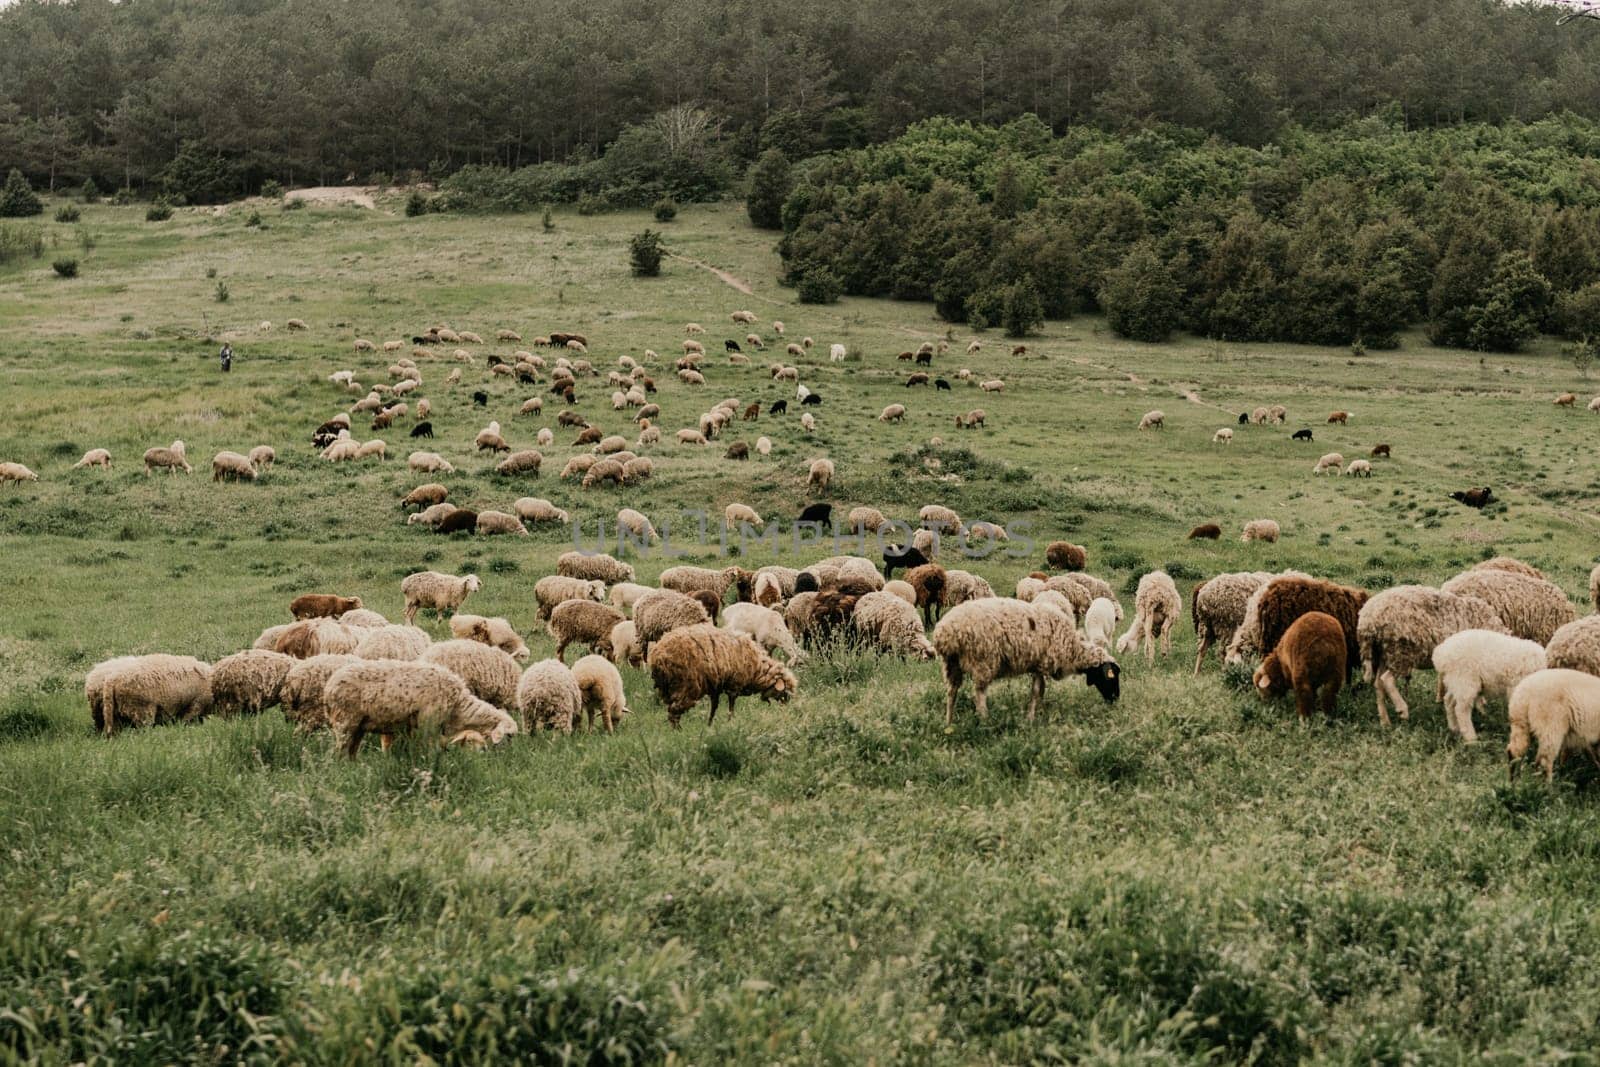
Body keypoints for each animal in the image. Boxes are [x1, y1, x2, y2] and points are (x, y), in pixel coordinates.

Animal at [328, 655, 515, 755]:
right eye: (509, 736)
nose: (509, 756)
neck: (458, 707)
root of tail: (331, 683)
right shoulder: (429, 723)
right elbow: (430, 749)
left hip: (359, 726)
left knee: (351, 751)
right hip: (345, 720)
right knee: (339, 751)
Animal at [646, 620, 796, 729]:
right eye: (784, 691)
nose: (787, 706)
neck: (757, 669)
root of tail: (657, 656)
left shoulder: (715, 687)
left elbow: (714, 707)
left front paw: (709, 725)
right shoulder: (734, 685)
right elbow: (731, 707)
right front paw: (730, 723)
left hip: (666, 688)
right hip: (686, 686)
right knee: (674, 712)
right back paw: (679, 732)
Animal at [934, 601, 1120, 726]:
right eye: (1111, 677)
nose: (1115, 700)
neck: (1073, 648)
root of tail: (944, 632)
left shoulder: (1039, 664)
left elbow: (1041, 690)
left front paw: (1039, 712)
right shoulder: (1042, 663)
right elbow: (1036, 691)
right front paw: (1030, 718)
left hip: (951, 664)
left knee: (951, 692)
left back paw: (948, 722)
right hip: (983, 661)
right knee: (978, 695)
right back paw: (986, 721)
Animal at [1356, 585, 1504, 726]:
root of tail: (1368, 620)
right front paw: (1480, 708)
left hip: (1385, 653)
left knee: (1378, 683)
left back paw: (1385, 721)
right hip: (1401, 651)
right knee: (1387, 679)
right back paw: (1402, 709)